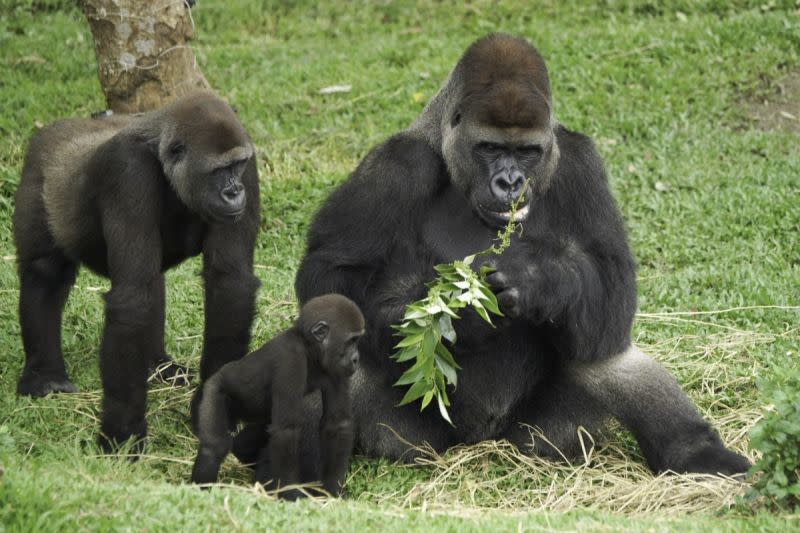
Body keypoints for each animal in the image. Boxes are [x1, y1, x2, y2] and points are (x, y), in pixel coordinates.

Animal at [13, 90, 260, 448]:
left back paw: (156, 366)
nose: (233, 191)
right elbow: (131, 301)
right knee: (45, 273)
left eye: (237, 167)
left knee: (150, 282)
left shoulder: (248, 157)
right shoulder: (127, 171)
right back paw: (44, 376)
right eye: (218, 171)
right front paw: (123, 433)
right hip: (38, 173)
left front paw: (213, 405)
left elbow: (231, 282)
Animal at [189, 294, 364, 496]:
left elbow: (337, 424)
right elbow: (286, 432)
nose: (356, 359)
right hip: (215, 389)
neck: (308, 347)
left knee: (248, 439)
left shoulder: (335, 368)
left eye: (357, 341)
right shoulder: (291, 360)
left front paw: (331, 489)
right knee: (214, 447)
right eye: (351, 341)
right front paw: (289, 493)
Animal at [238, 34, 752, 474]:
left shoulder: (580, 164)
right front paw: (454, 316)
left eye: (527, 152)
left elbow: (613, 286)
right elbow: (331, 271)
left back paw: (697, 454)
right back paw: (291, 477)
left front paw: (539, 278)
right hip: (412, 441)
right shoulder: (396, 164)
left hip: (544, 438)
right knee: (332, 342)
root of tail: (482, 444)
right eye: (489, 148)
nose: (509, 182)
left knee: (601, 343)